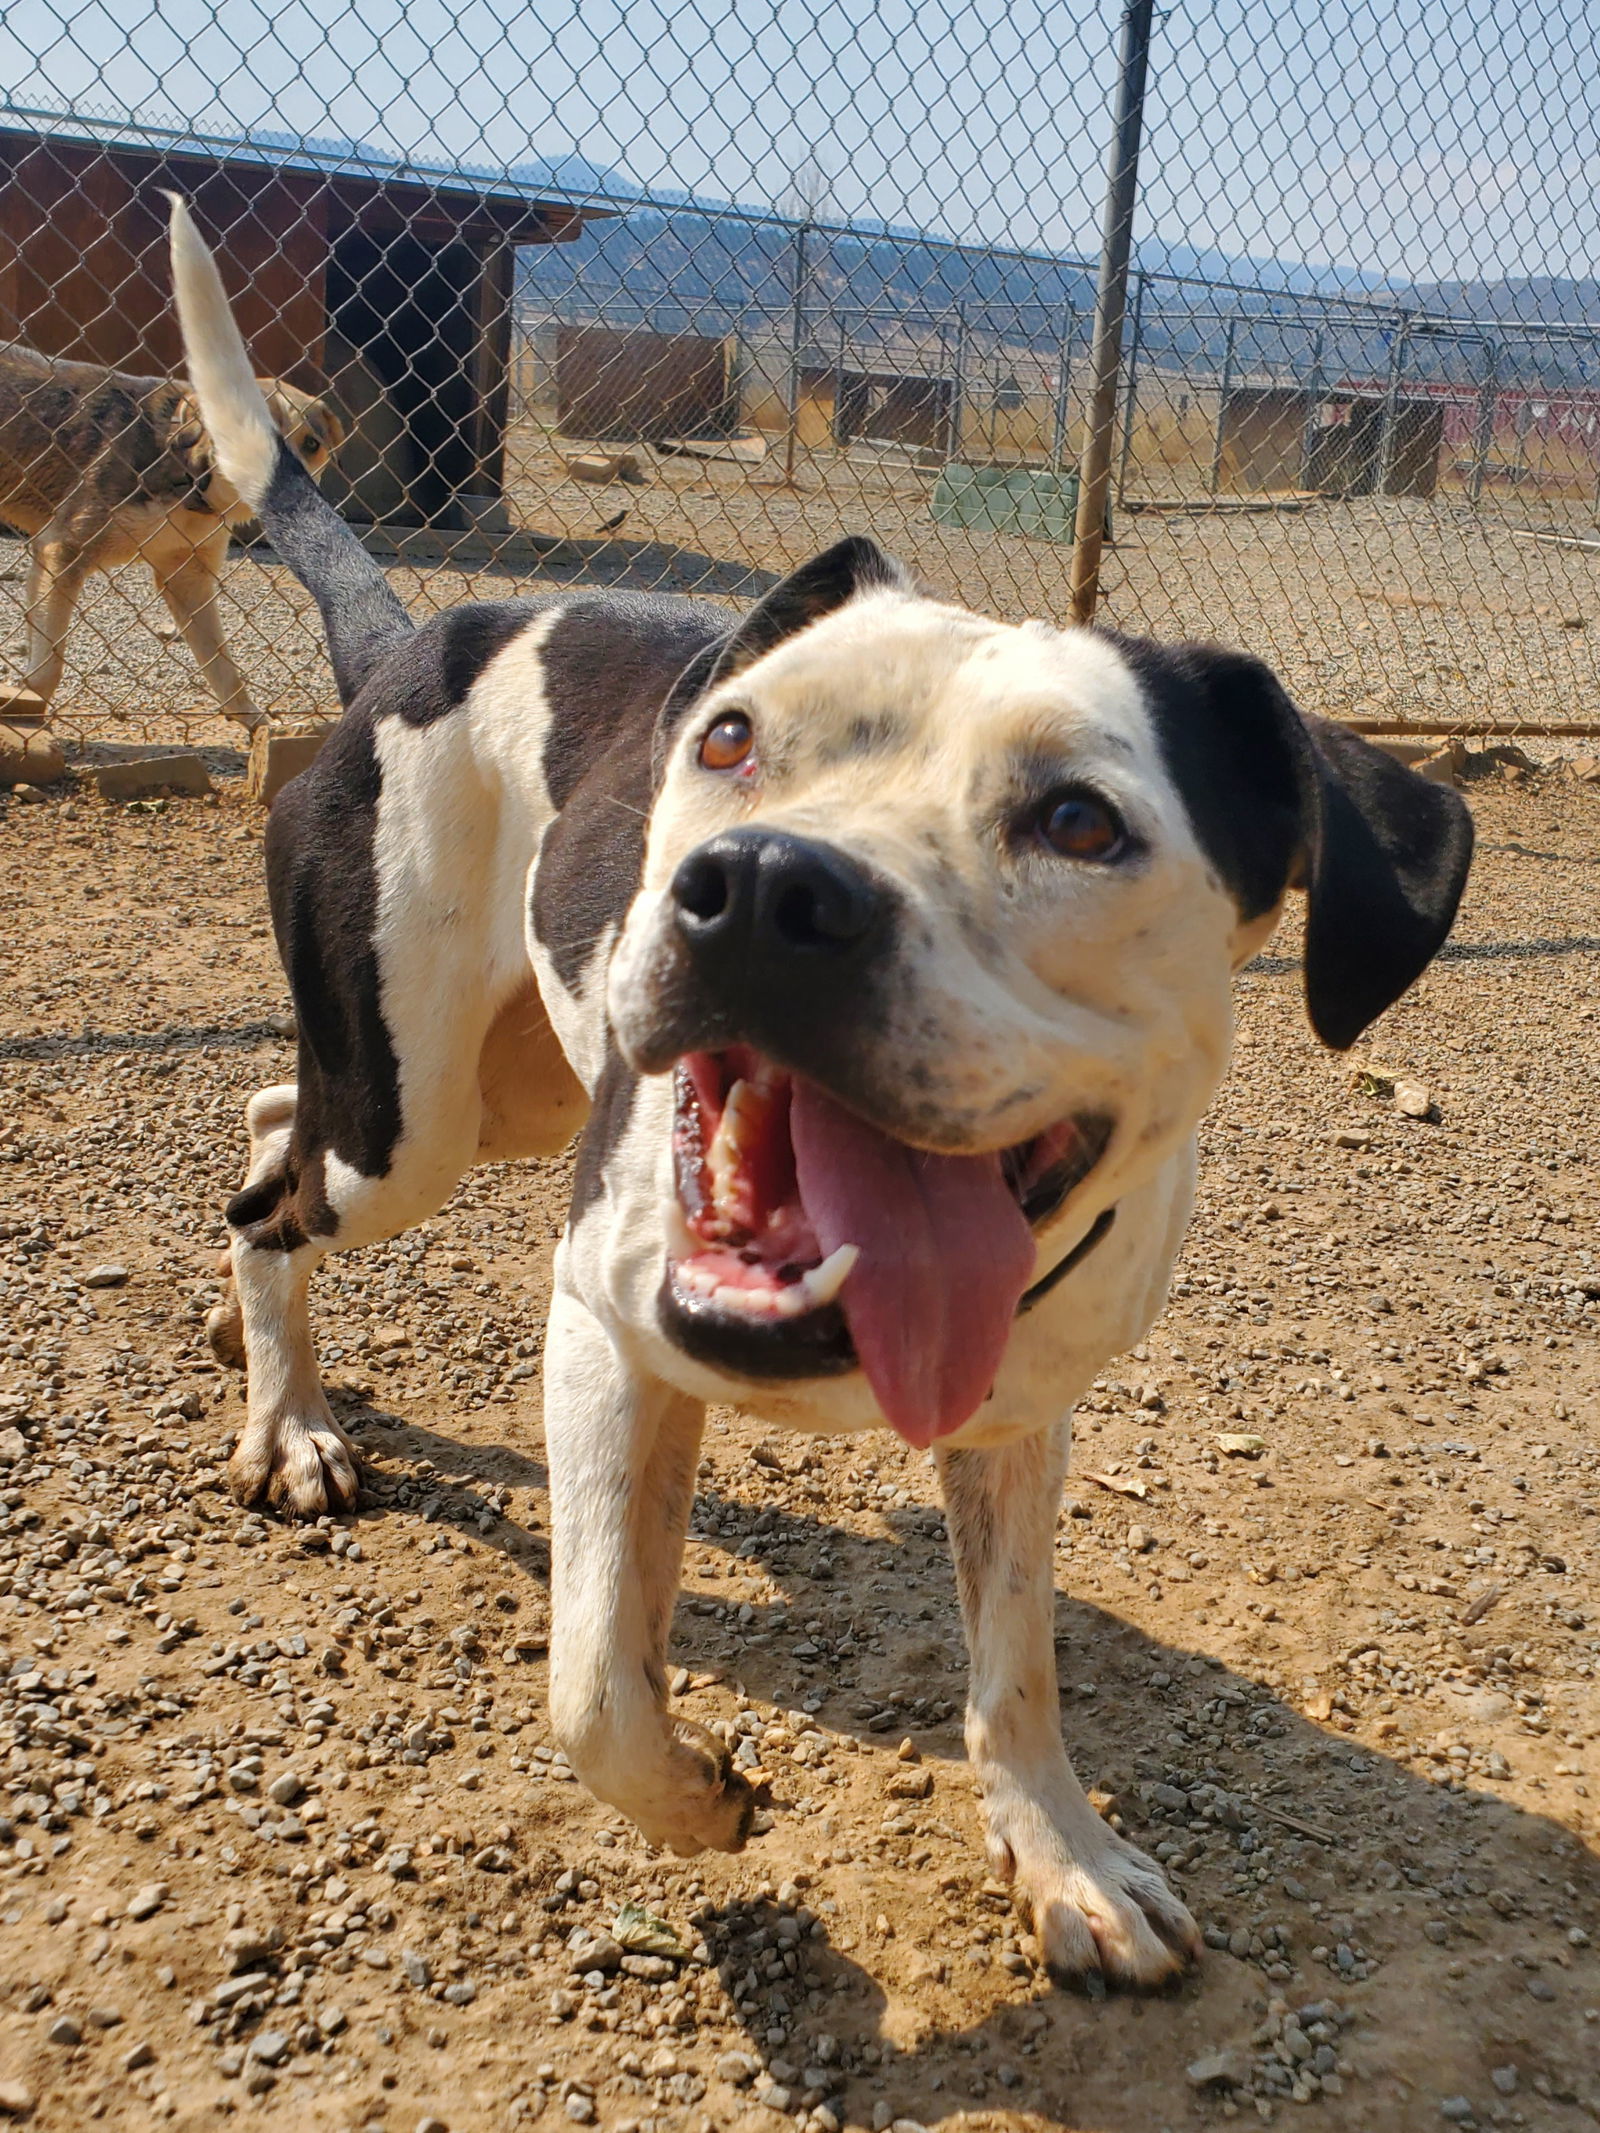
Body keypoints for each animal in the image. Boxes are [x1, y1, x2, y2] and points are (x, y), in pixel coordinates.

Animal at [0, 337, 345, 725]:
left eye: (312, 444)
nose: (291, 490)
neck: (187, 471)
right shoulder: (63, 549)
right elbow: (48, 668)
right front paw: (25, 708)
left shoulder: (187, 578)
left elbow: (226, 674)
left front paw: (261, 730)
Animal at [169, 200, 1476, 1996]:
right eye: (730, 740)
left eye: (1082, 821)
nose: (765, 887)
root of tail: (406, 641)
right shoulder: (604, 1320)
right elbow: (595, 1677)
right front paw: (698, 1799)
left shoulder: (1017, 1415)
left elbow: (1015, 1659)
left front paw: (1062, 1852)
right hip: (413, 1118)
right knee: (275, 1188)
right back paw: (288, 1420)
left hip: (499, 1092)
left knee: (261, 1115)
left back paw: (264, 1359)